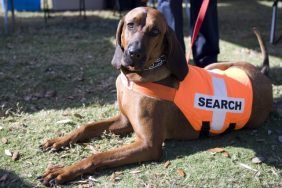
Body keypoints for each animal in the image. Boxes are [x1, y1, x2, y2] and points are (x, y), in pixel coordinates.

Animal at [38, 6, 272, 186]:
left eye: (155, 31)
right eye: (130, 24)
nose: (134, 53)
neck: (135, 78)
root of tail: (262, 73)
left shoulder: (148, 145)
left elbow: (98, 155)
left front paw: (63, 171)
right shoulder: (124, 121)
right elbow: (85, 127)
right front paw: (59, 140)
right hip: (215, 66)